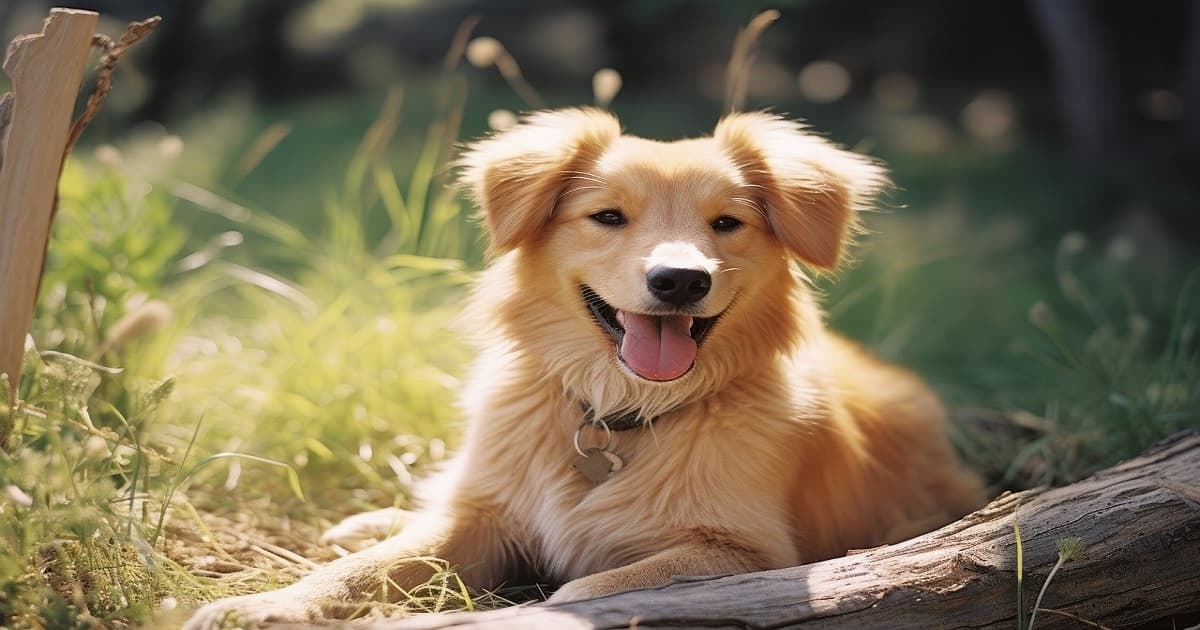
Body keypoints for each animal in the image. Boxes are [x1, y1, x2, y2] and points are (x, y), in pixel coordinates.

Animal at [182, 109, 979, 628]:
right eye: (608, 217)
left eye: (727, 223)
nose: (680, 280)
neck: (619, 412)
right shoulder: (486, 521)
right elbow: (368, 569)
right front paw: (267, 605)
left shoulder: (748, 552)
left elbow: (589, 590)